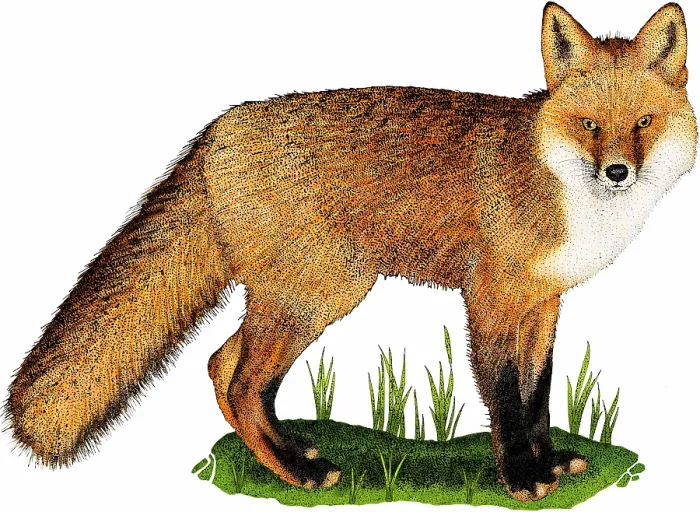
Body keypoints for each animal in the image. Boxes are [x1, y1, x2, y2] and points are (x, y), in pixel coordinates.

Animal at [5, 1, 696, 502]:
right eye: (589, 124)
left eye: (643, 122)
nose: (617, 172)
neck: (563, 189)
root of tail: (219, 128)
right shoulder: (491, 301)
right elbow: (504, 400)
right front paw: (523, 478)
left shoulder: (544, 303)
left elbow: (538, 396)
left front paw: (549, 463)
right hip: (319, 294)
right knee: (241, 381)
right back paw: (300, 474)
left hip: (299, 296)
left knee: (221, 367)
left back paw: (292, 454)